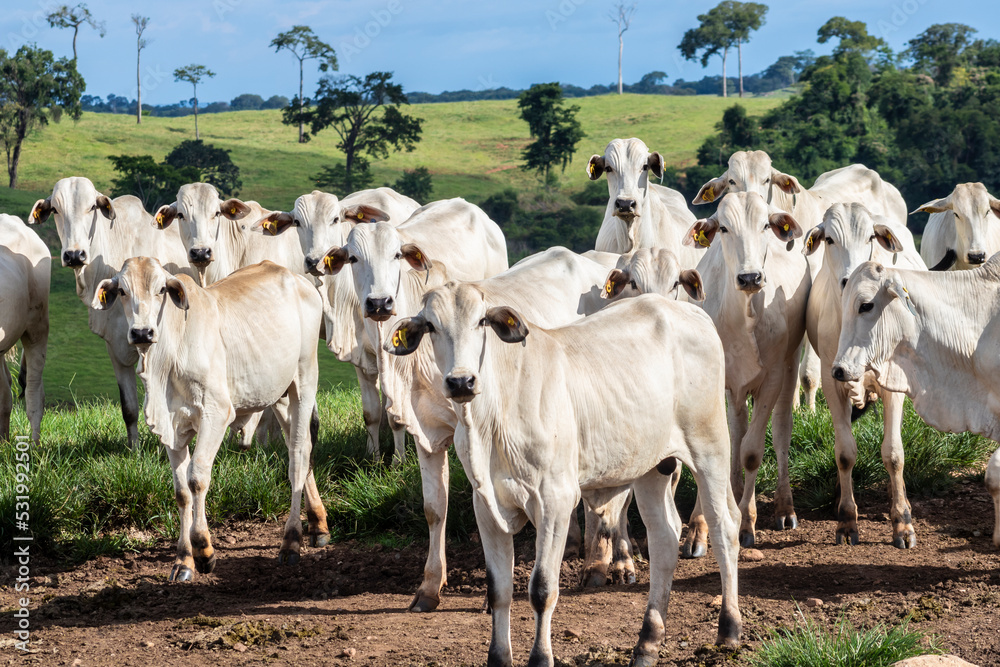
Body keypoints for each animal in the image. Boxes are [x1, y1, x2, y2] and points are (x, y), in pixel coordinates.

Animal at [29, 177, 193, 446]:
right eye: (55, 209)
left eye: (92, 207)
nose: (74, 254)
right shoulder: (115, 347)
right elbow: (129, 407)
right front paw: (134, 449)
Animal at [91, 258, 327, 580]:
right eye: (123, 291)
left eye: (161, 289)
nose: (142, 333)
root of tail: (298, 279)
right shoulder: (171, 427)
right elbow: (181, 492)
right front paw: (183, 561)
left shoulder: (216, 413)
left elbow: (197, 478)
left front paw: (203, 549)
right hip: (279, 395)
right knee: (299, 448)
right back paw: (318, 524)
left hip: (304, 380)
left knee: (299, 457)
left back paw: (291, 542)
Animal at [383, 288, 741, 666]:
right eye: (430, 326)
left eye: (481, 320)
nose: (461, 381)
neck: (491, 419)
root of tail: (687, 311)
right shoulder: (487, 506)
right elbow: (498, 590)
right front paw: (498, 657)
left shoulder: (555, 501)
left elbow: (542, 589)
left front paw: (541, 658)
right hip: (651, 467)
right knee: (664, 539)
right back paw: (647, 643)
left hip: (710, 447)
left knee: (725, 526)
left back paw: (729, 629)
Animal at [682, 191, 809, 552]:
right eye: (723, 228)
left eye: (765, 224)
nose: (750, 277)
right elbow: (715, 450)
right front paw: (698, 528)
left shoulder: (772, 379)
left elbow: (751, 452)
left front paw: (746, 524)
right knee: (736, 430)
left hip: (791, 364)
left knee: (780, 430)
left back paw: (782, 507)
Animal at [803, 203, 926, 548]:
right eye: (829, 238)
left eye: (871, 236)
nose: (851, 279)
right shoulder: (832, 380)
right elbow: (845, 453)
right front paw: (846, 519)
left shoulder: (894, 385)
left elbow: (894, 454)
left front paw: (903, 521)